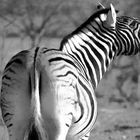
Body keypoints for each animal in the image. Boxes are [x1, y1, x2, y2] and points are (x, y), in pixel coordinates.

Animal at [0, 3, 140, 140]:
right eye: (132, 24)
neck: (83, 62)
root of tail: (36, 59)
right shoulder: (83, 134)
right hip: (60, 121)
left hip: (15, 120)